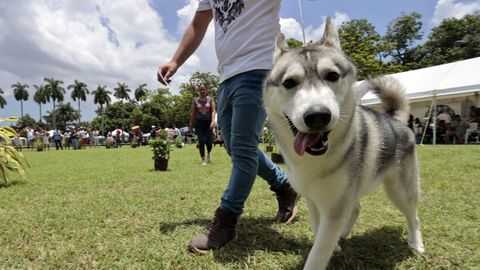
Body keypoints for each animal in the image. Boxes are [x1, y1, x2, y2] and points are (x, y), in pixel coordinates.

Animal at [262, 17, 424, 268]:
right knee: (356, 208)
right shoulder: (315, 201)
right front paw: (334, 244)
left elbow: (318, 253)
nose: (317, 115)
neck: (315, 161)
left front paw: (326, 249)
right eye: (289, 82)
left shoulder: (335, 208)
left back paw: (416, 244)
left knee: (413, 215)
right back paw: (343, 235)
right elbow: (320, 231)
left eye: (332, 76)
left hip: (400, 190)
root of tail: (396, 120)